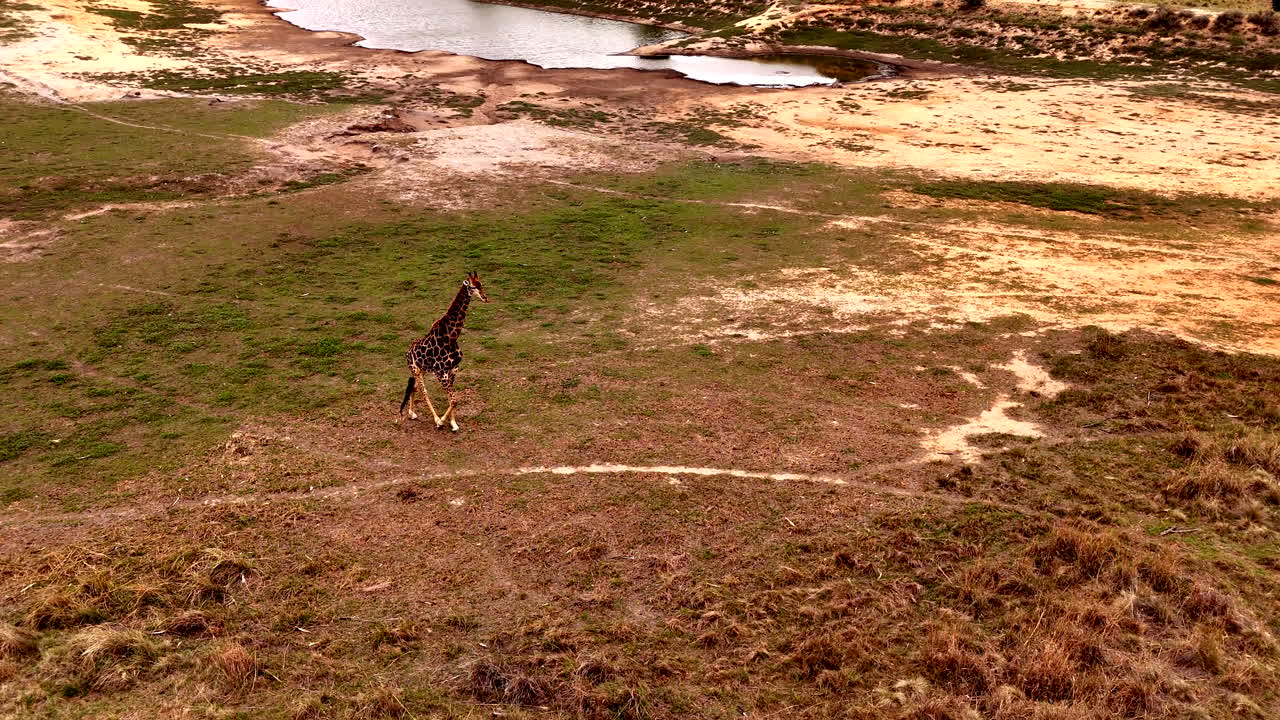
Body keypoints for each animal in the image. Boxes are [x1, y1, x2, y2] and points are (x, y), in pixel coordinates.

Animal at [398, 271, 489, 431]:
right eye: (473, 287)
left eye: (481, 284)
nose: (485, 298)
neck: (451, 337)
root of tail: (407, 353)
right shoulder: (441, 373)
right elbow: (454, 399)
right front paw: (441, 421)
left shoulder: (453, 370)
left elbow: (451, 399)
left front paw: (453, 423)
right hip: (415, 369)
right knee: (423, 391)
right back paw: (434, 419)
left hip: (421, 370)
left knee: (414, 388)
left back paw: (411, 413)